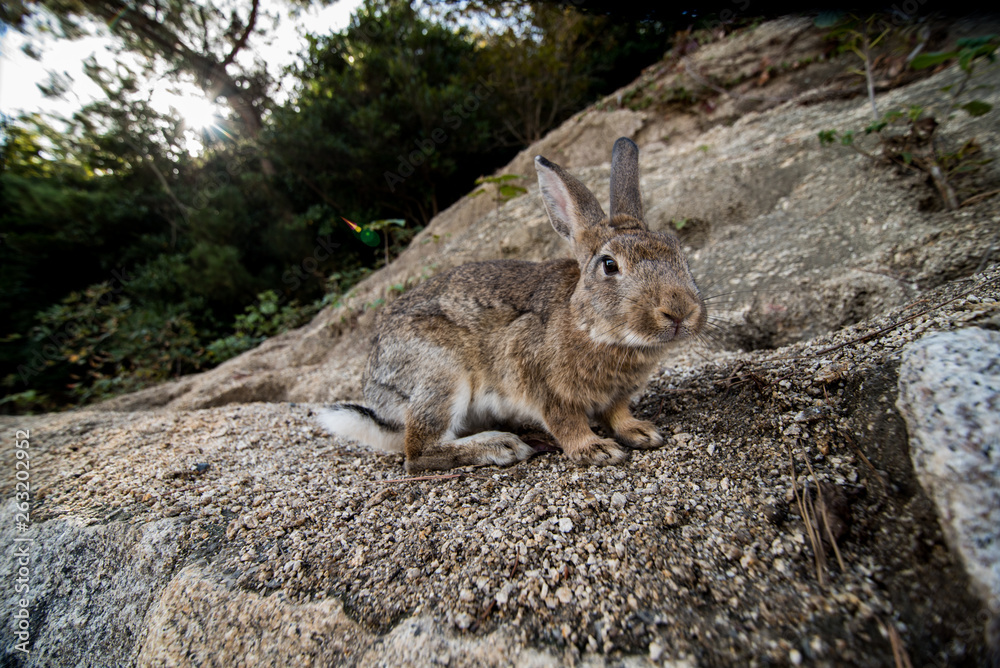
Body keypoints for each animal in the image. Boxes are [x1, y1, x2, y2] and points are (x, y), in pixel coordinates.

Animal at [318, 137, 706, 472]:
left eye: (677, 250)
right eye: (610, 265)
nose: (680, 311)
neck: (590, 327)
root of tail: (375, 387)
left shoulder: (616, 397)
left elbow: (617, 414)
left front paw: (641, 432)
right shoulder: (540, 382)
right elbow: (566, 422)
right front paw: (595, 449)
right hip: (441, 374)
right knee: (417, 453)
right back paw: (500, 446)